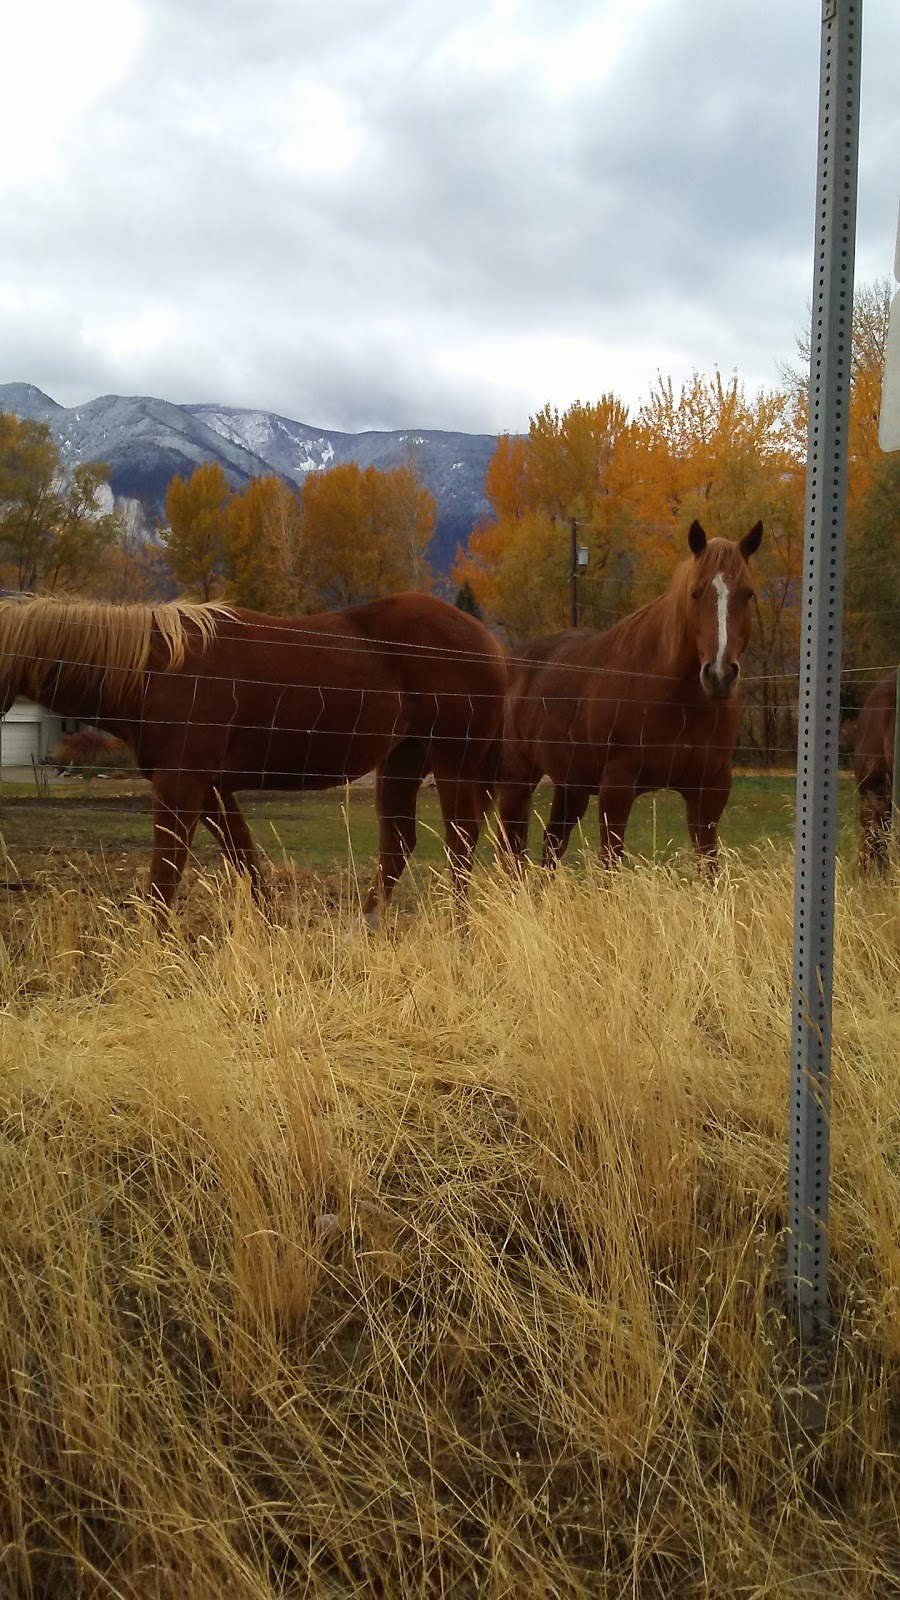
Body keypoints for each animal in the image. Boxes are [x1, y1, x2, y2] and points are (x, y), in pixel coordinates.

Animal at [0, 592, 506, 921]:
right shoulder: (211, 790)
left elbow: (164, 880)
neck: (154, 672)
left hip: (452, 764)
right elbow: (247, 865)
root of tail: (488, 643)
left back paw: (458, 930)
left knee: (460, 844)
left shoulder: (181, 785)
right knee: (399, 846)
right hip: (403, 761)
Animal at [493, 521, 759, 876]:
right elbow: (610, 864)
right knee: (511, 854)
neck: (678, 699)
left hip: (570, 786)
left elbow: (709, 869)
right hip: (517, 778)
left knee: (550, 849)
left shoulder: (710, 791)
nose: (719, 674)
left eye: (747, 593)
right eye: (696, 592)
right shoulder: (617, 787)